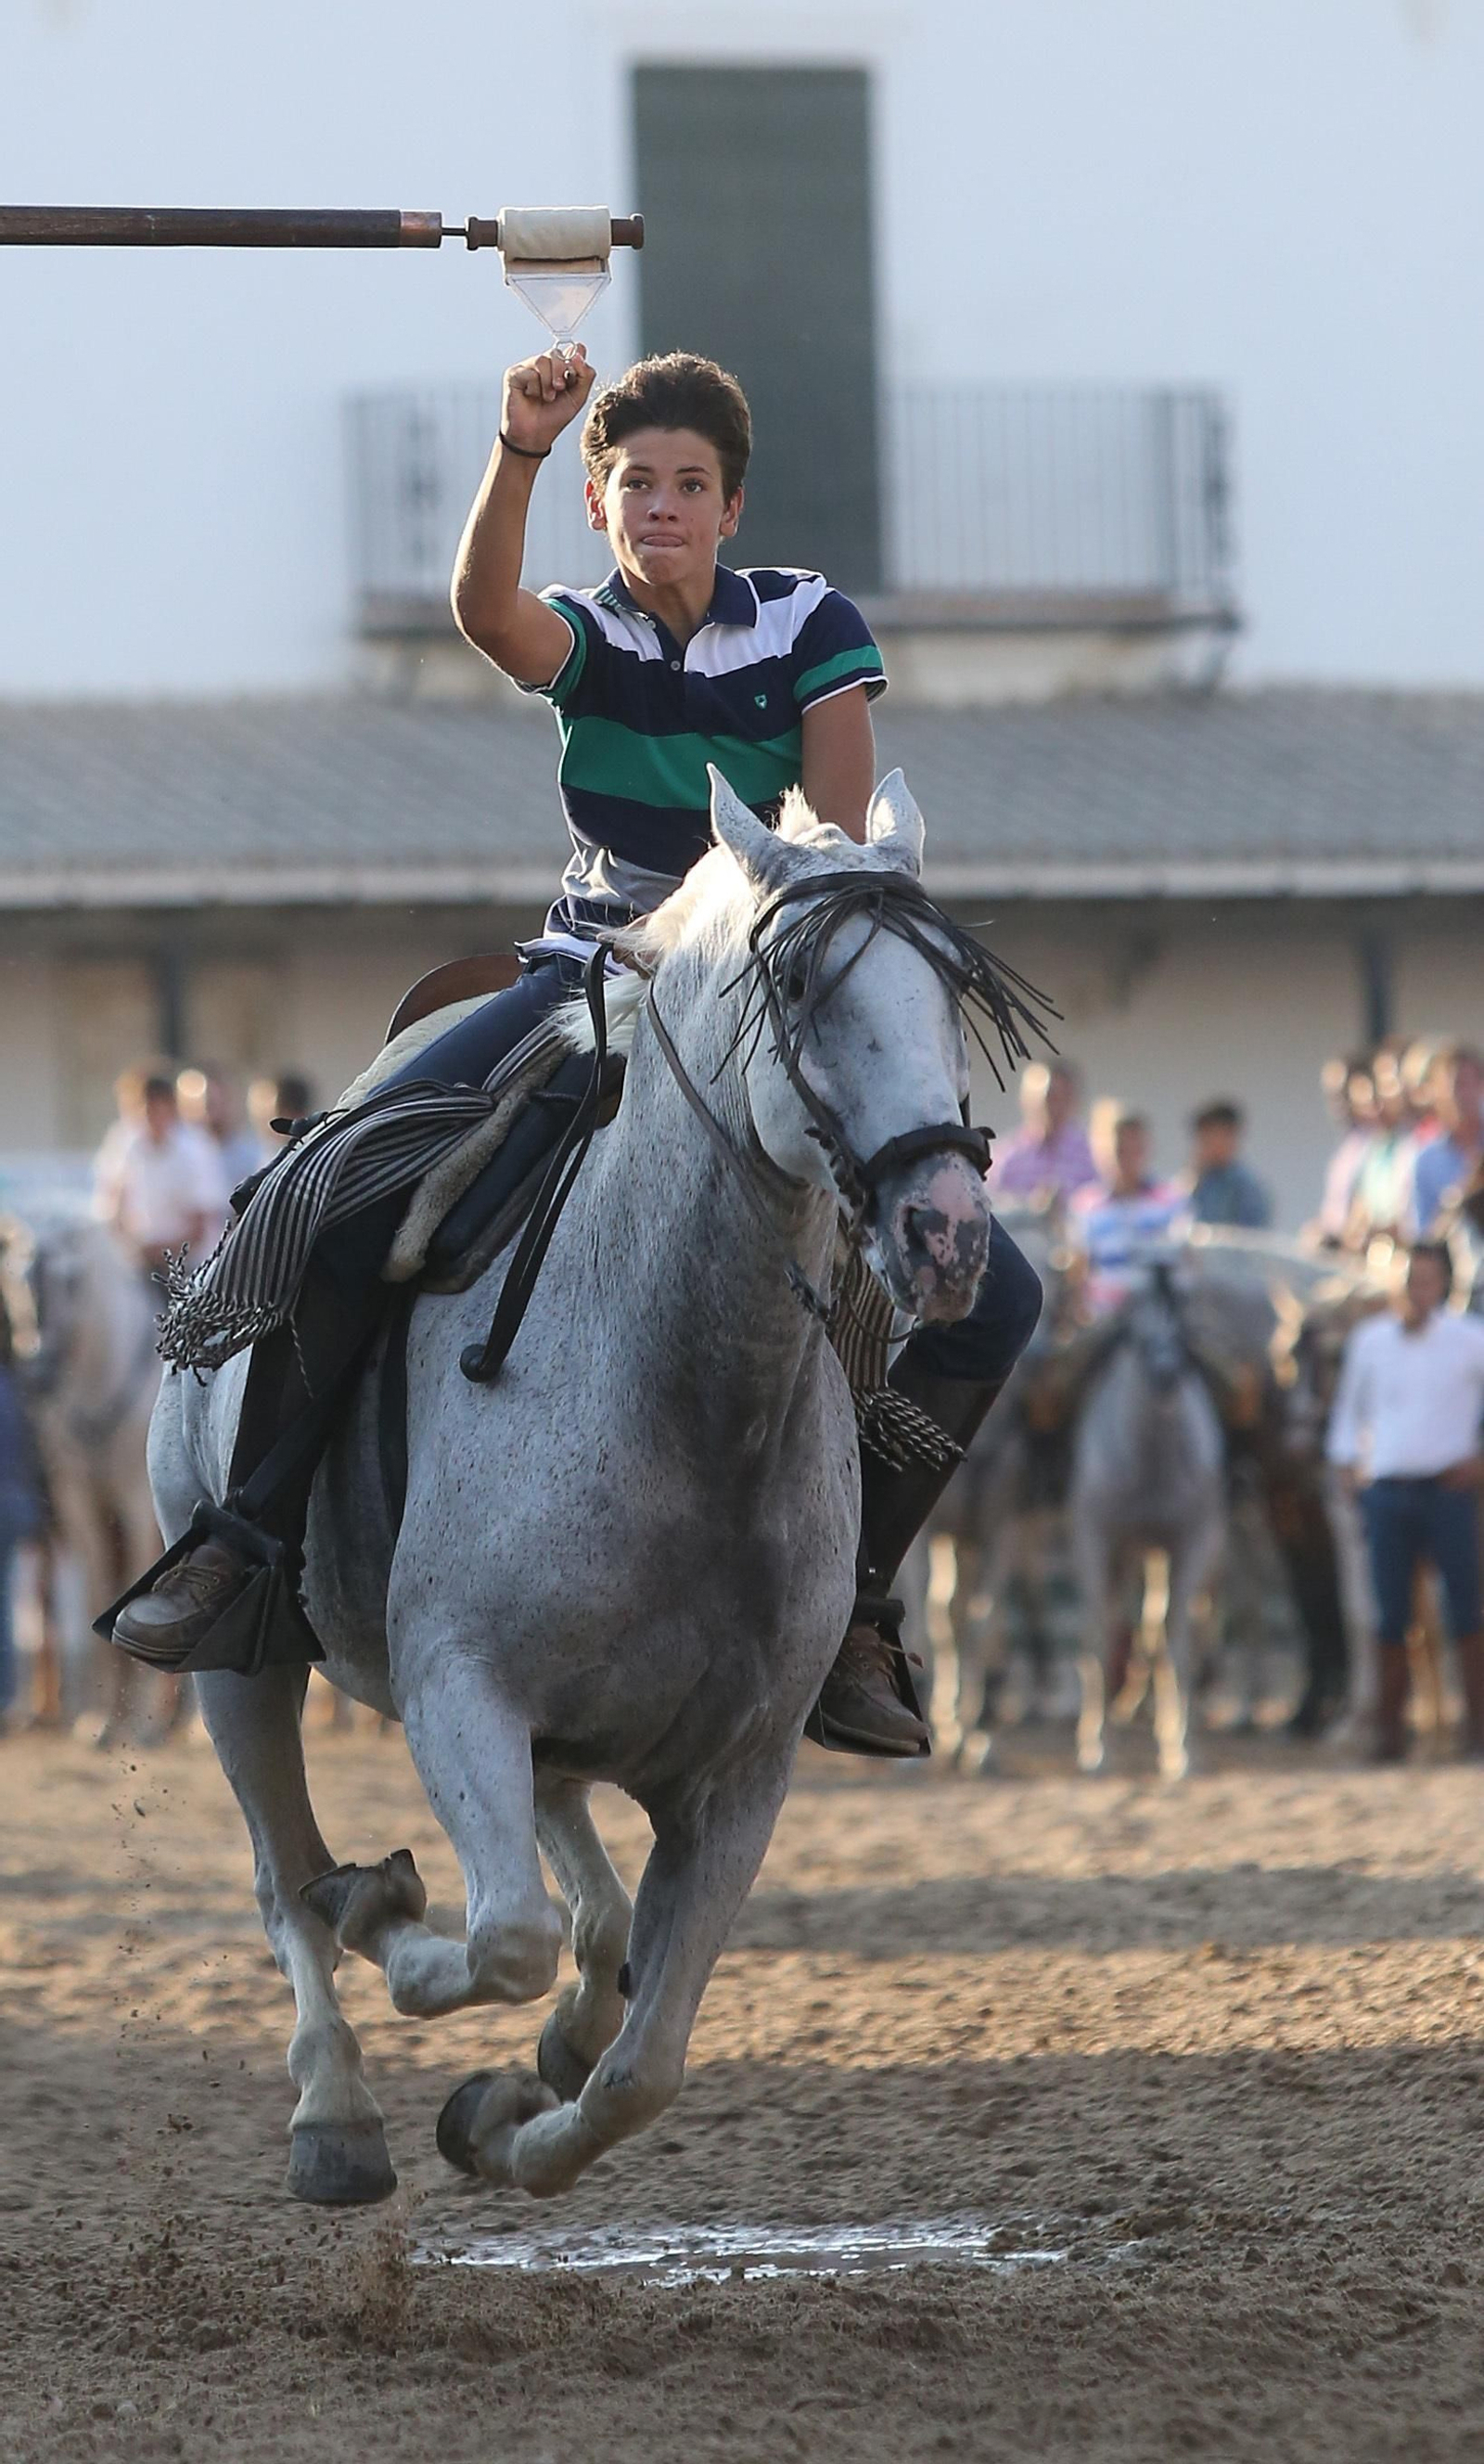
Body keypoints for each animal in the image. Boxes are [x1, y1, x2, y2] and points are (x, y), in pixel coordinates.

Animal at [0, 1208, 167, 1742]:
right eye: (13, 1278)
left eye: (70, 1281)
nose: (35, 1368)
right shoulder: (80, 1506)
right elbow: (99, 1588)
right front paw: (99, 1723)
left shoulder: (136, 1506)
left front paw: (136, 1724)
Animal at [1068, 1256, 1227, 1781]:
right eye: (1135, 1333)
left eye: (1182, 1326)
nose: (1166, 1376)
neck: (1150, 1463)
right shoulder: (1095, 1540)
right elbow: (1098, 1635)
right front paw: (1096, 1747)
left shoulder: (1192, 1542)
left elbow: (1175, 1641)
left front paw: (1180, 1749)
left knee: (1160, 1627)